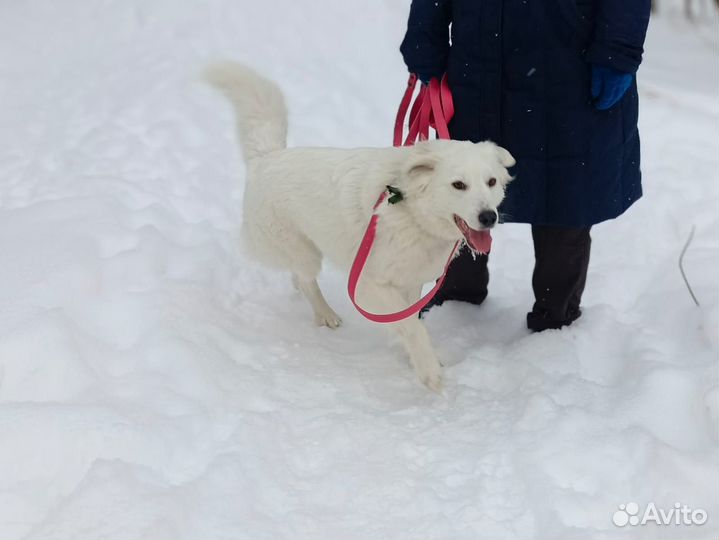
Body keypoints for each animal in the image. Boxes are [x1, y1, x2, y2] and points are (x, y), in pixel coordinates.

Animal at [205, 63, 516, 390]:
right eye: (458, 185)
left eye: (491, 182)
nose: (489, 217)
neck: (411, 212)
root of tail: (266, 157)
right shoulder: (369, 285)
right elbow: (411, 326)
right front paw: (429, 370)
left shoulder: (410, 281)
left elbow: (410, 319)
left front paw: (410, 354)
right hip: (302, 250)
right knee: (305, 279)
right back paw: (325, 314)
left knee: (298, 277)